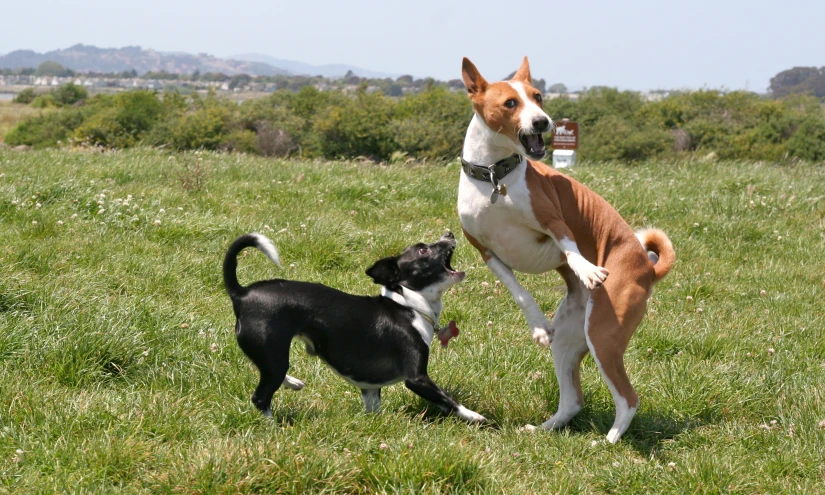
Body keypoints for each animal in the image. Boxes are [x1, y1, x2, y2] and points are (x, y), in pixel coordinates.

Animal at [222, 232, 486, 422]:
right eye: (423, 250)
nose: (449, 233)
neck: (408, 304)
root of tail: (242, 293)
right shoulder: (417, 378)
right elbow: (448, 400)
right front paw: (475, 416)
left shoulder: (370, 387)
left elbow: (373, 407)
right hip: (274, 354)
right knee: (260, 397)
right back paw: (273, 426)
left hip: (269, 357)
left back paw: (293, 383)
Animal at [458, 56, 676, 444]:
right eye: (510, 103)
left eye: (538, 96)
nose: (543, 122)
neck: (495, 178)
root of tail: (649, 268)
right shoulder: (487, 253)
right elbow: (520, 293)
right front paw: (537, 327)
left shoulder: (555, 222)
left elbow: (571, 249)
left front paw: (587, 269)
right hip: (570, 338)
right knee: (573, 400)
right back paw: (544, 429)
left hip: (604, 334)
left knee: (628, 398)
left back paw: (609, 441)